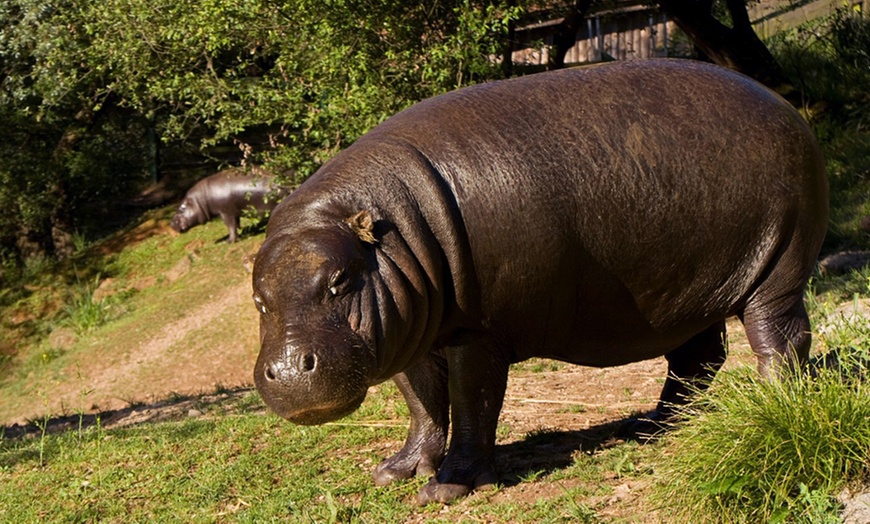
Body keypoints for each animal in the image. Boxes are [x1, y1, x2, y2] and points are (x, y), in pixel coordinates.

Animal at [250, 59, 832, 506]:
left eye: (341, 280)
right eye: (258, 299)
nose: (288, 368)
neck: (384, 227)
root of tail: (786, 106)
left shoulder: (476, 332)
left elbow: (471, 401)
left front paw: (448, 488)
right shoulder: (410, 332)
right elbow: (422, 402)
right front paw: (395, 471)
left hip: (777, 267)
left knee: (780, 339)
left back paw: (770, 405)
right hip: (689, 292)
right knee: (698, 357)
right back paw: (651, 428)